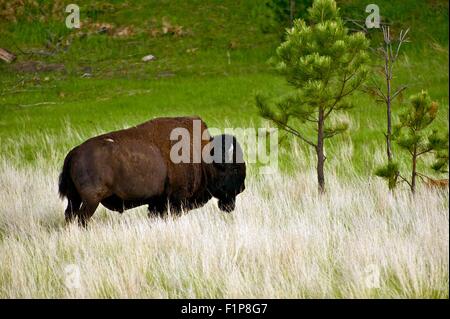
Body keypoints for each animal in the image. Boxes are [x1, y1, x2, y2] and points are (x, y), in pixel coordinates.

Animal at [59, 116, 246, 226]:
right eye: (234, 169)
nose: (242, 187)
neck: (204, 157)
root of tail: (74, 152)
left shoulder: (157, 202)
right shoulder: (175, 200)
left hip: (74, 198)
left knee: (70, 214)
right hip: (91, 200)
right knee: (81, 218)